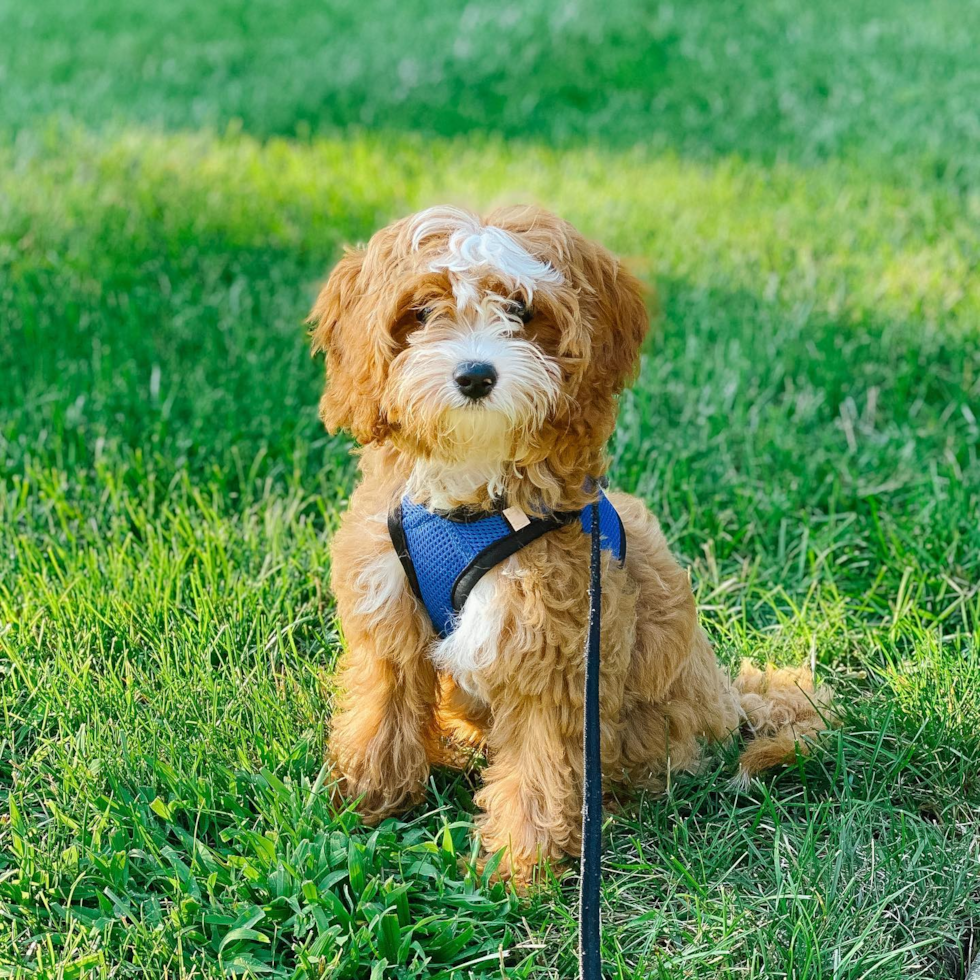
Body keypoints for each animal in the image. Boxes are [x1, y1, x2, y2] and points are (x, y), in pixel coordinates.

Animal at [310, 203, 832, 884]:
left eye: (520, 309)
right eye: (421, 312)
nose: (475, 375)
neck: (472, 497)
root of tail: (731, 705)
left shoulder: (555, 650)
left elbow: (539, 764)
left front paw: (517, 867)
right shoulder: (388, 606)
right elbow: (384, 708)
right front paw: (366, 801)